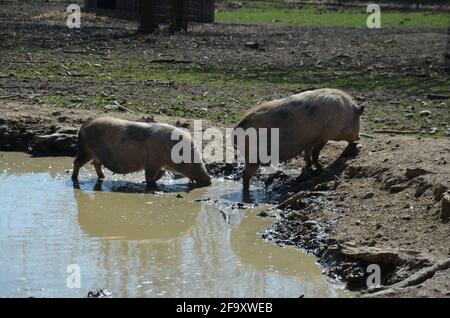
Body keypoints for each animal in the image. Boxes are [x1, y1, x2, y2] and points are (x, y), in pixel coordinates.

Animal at [71, 116, 212, 186]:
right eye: (193, 162)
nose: (209, 180)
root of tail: (83, 126)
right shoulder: (151, 164)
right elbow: (150, 177)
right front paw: (150, 185)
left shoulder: (161, 166)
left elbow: (159, 175)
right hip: (85, 151)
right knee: (76, 163)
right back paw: (74, 179)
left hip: (97, 155)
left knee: (96, 164)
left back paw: (103, 177)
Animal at [234, 88, 364, 190]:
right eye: (358, 119)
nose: (358, 138)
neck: (347, 114)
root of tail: (237, 128)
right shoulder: (324, 135)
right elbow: (315, 152)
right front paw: (320, 168)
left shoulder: (310, 139)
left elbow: (308, 152)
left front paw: (308, 166)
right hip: (254, 155)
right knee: (245, 173)